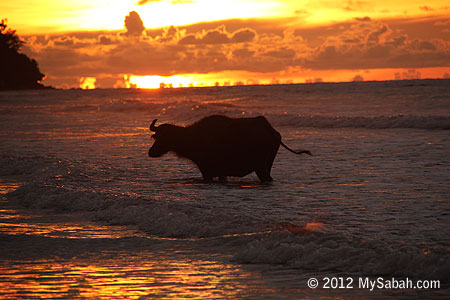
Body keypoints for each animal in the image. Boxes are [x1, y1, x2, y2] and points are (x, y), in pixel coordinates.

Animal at [149, 115, 312, 182]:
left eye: (164, 137)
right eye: (157, 136)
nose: (151, 152)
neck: (194, 137)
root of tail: (270, 130)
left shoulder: (206, 171)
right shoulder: (221, 173)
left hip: (260, 167)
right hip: (268, 165)